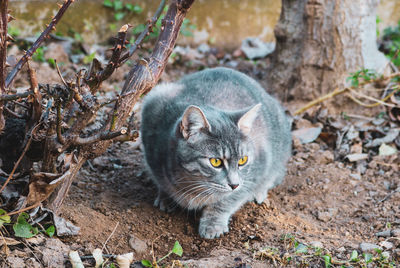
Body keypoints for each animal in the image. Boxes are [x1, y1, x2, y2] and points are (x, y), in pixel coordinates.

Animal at [141, 67, 290, 239]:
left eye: (243, 160)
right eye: (216, 162)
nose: (234, 184)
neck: (191, 184)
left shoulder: (257, 167)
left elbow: (229, 199)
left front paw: (213, 223)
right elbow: (160, 181)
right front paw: (166, 196)